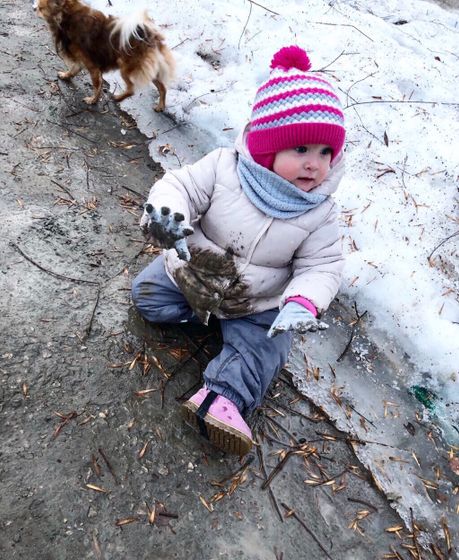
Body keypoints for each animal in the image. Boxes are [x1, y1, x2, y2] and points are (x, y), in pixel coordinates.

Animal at [35, 0, 175, 110]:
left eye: (41, 8)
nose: (34, 8)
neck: (68, 16)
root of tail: (150, 36)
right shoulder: (82, 61)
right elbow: (74, 69)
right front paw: (66, 75)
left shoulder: (93, 66)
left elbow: (97, 85)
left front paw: (93, 100)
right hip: (149, 70)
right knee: (162, 87)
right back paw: (160, 106)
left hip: (125, 68)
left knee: (131, 89)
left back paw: (118, 98)